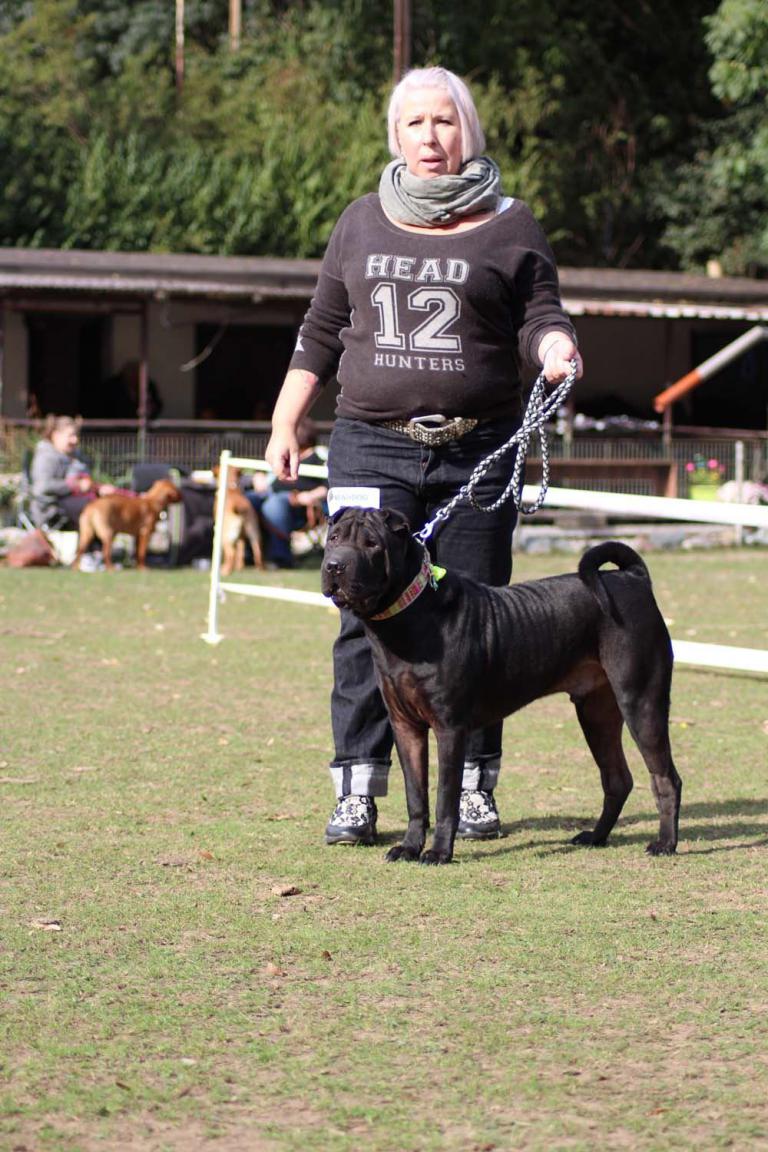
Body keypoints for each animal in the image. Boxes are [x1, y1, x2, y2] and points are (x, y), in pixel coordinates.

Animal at [321, 507, 682, 865]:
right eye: (334, 538)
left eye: (372, 544)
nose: (334, 565)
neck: (407, 617)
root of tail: (632, 578)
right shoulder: (406, 726)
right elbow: (415, 794)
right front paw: (409, 847)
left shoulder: (449, 727)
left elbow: (445, 796)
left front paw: (439, 852)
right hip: (596, 712)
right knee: (617, 779)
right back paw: (595, 836)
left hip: (639, 700)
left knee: (666, 778)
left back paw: (665, 843)